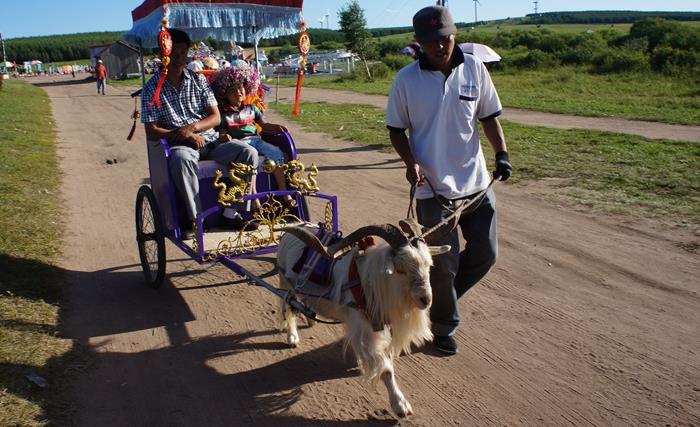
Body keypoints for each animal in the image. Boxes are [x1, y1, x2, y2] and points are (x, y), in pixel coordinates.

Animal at [274, 221, 448, 418]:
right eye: (401, 269)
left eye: (429, 266)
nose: (425, 299)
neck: (369, 282)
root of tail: (293, 224)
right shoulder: (363, 329)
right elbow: (386, 370)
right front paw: (400, 405)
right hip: (285, 282)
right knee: (287, 306)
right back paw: (292, 337)